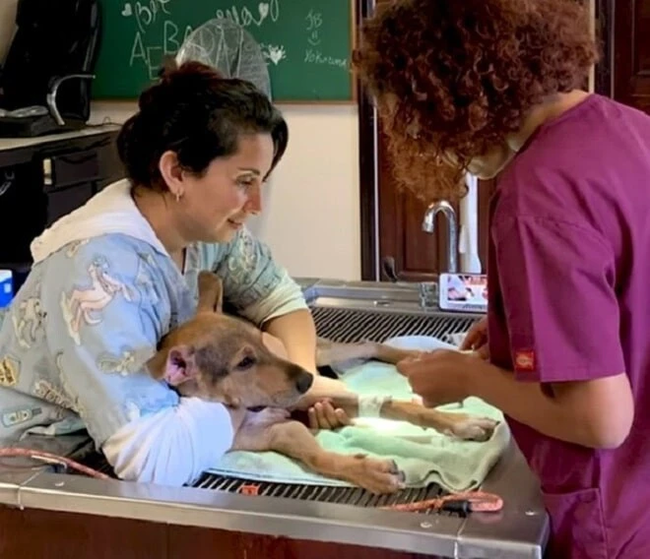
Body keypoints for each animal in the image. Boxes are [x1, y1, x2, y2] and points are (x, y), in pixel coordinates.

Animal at [144, 272, 494, 494]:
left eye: (259, 342)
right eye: (244, 362)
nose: (306, 378)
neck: (248, 410)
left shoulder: (306, 395)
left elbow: (401, 407)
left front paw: (462, 422)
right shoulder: (277, 432)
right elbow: (317, 456)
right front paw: (369, 472)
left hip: (321, 357)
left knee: (369, 345)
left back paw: (413, 358)